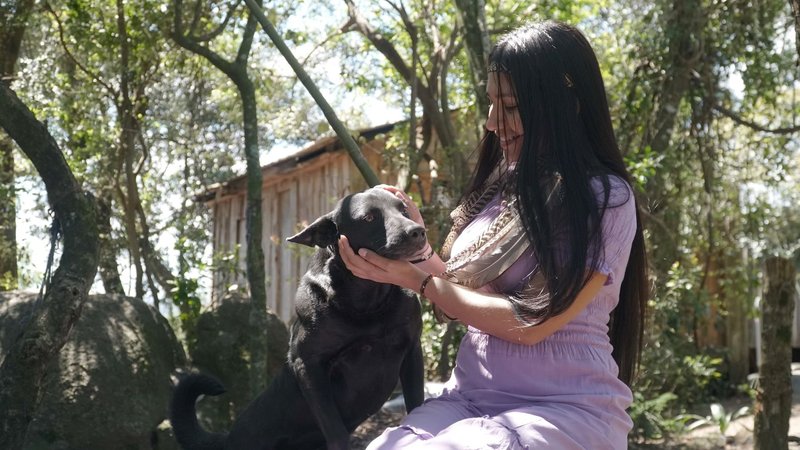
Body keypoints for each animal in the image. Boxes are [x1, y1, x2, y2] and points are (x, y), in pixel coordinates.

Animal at [173, 187, 428, 450]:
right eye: (369, 218)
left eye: (403, 209)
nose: (418, 231)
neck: (368, 301)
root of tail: (228, 437)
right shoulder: (308, 366)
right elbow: (336, 432)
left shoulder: (412, 350)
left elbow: (416, 404)